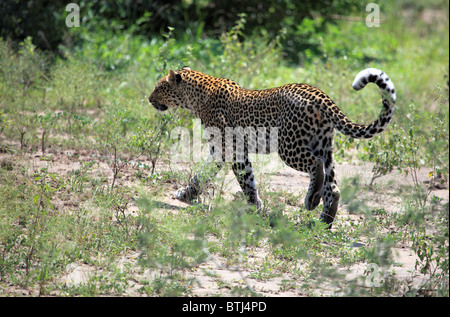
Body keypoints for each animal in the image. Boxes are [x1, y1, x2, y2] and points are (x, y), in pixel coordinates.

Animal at [149, 66, 396, 227]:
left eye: (158, 87)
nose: (149, 99)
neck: (196, 97)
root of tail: (321, 96)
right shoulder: (223, 150)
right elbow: (206, 175)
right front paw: (186, 194)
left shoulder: (230, 147)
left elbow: (244, 182)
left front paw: (253, 207)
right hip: (325, 146)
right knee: (333, 187)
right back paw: (322, 223)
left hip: (289, 146)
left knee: (316, 166)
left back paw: (311, 200)